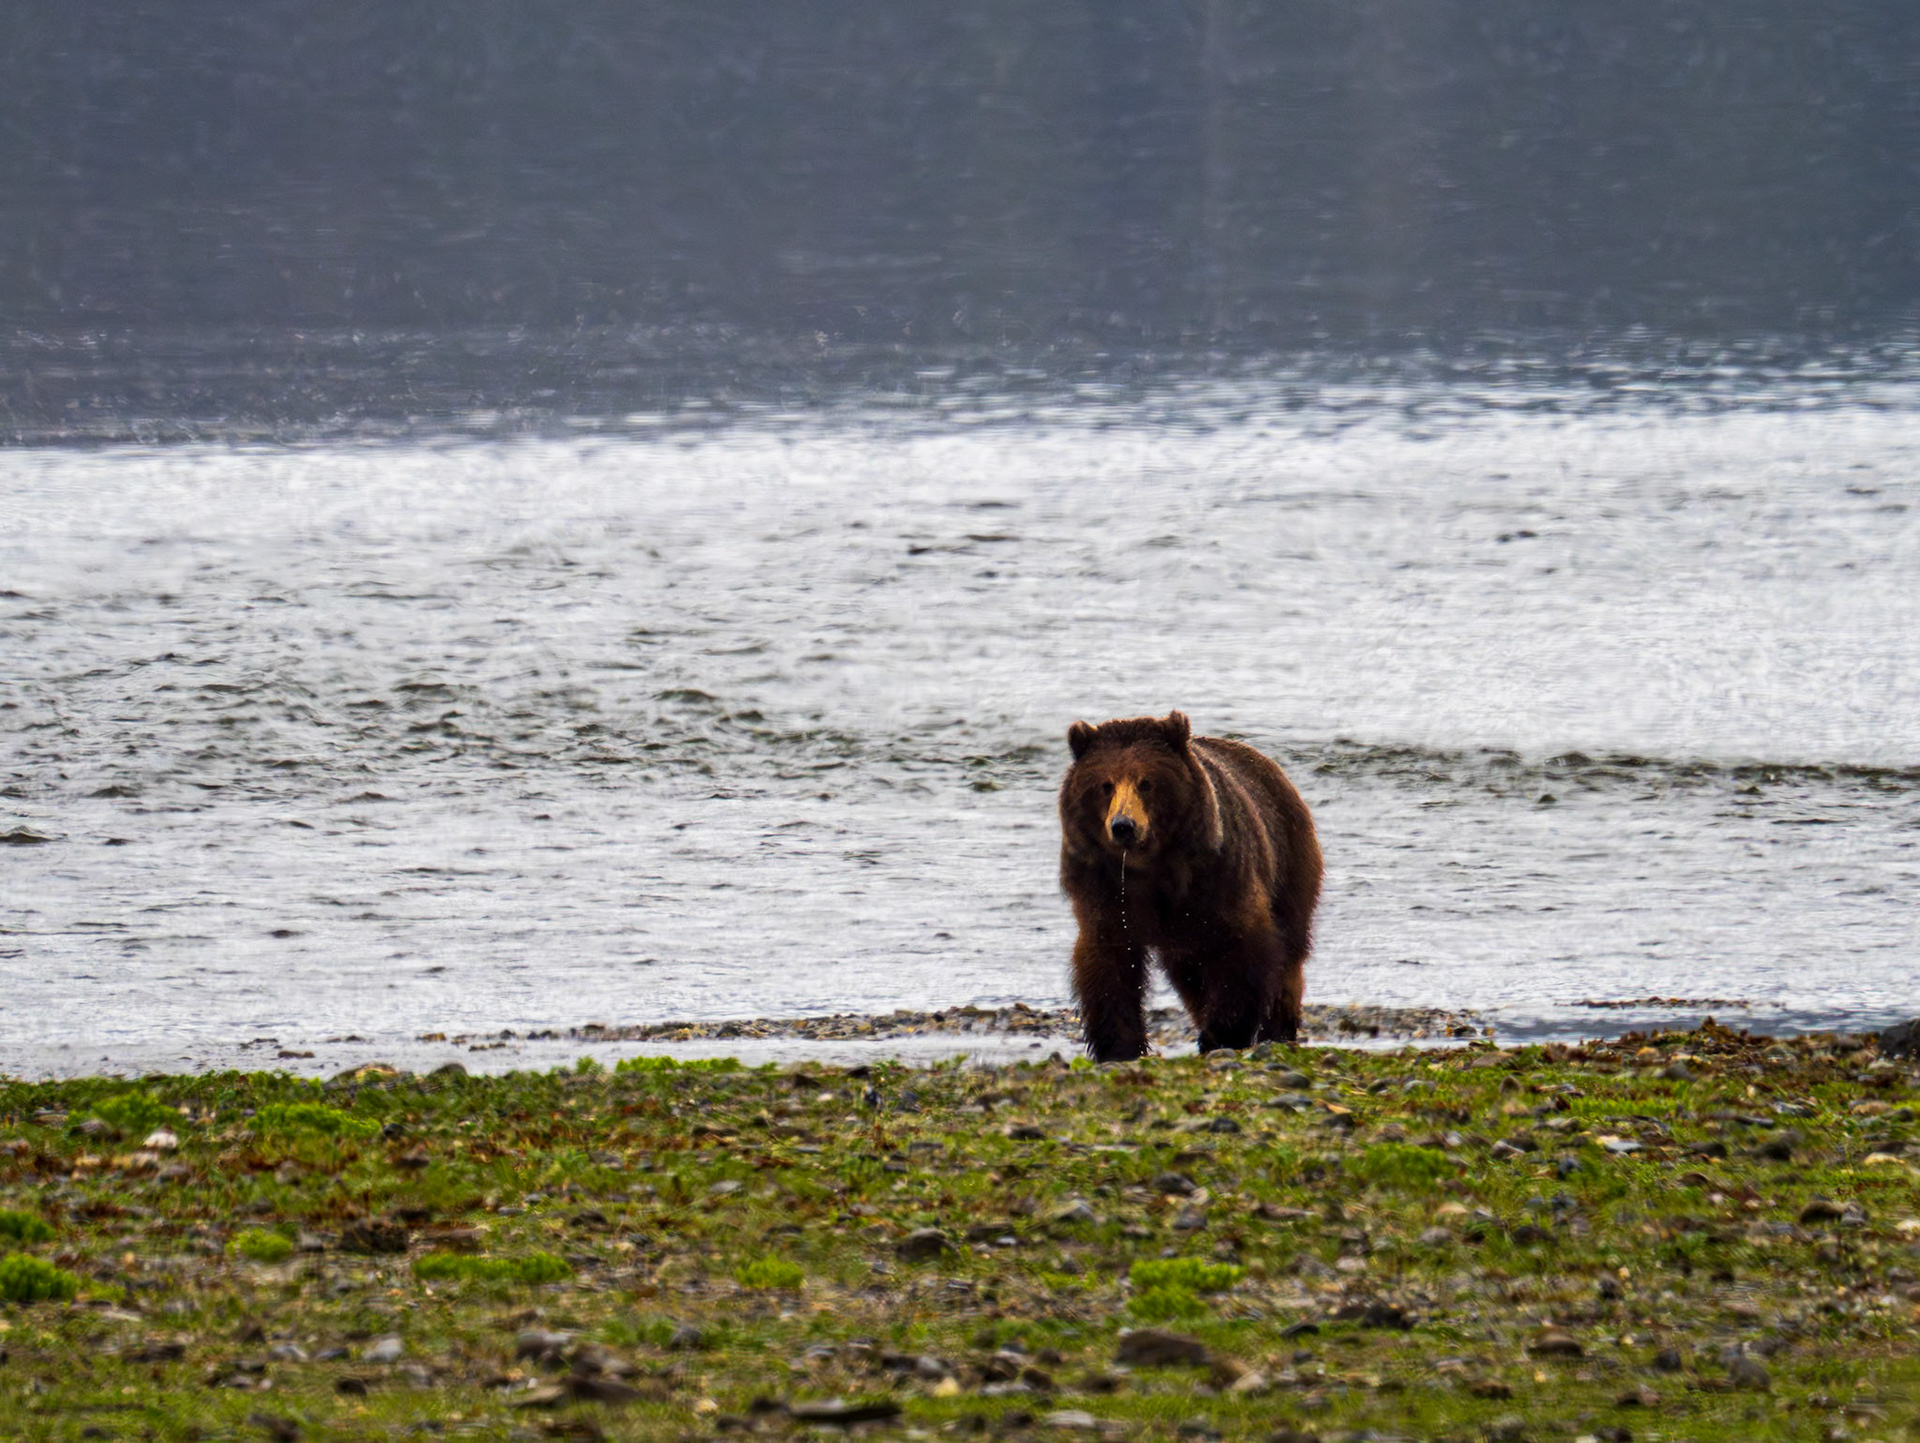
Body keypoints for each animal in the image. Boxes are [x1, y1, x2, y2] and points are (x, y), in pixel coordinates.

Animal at [1058, 711, 1322, 1061]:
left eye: (1146, 782)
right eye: (1105, 785)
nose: (1123, 826)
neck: (1150, 867)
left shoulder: (1217, 879)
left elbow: (1242, 946)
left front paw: (1222, 1033)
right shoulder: (1106, 888)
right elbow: (1109, 960)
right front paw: (1119, 1046)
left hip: (1288, 858)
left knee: (1289, 948)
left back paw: (1277, 1028)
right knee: (1188, 971)